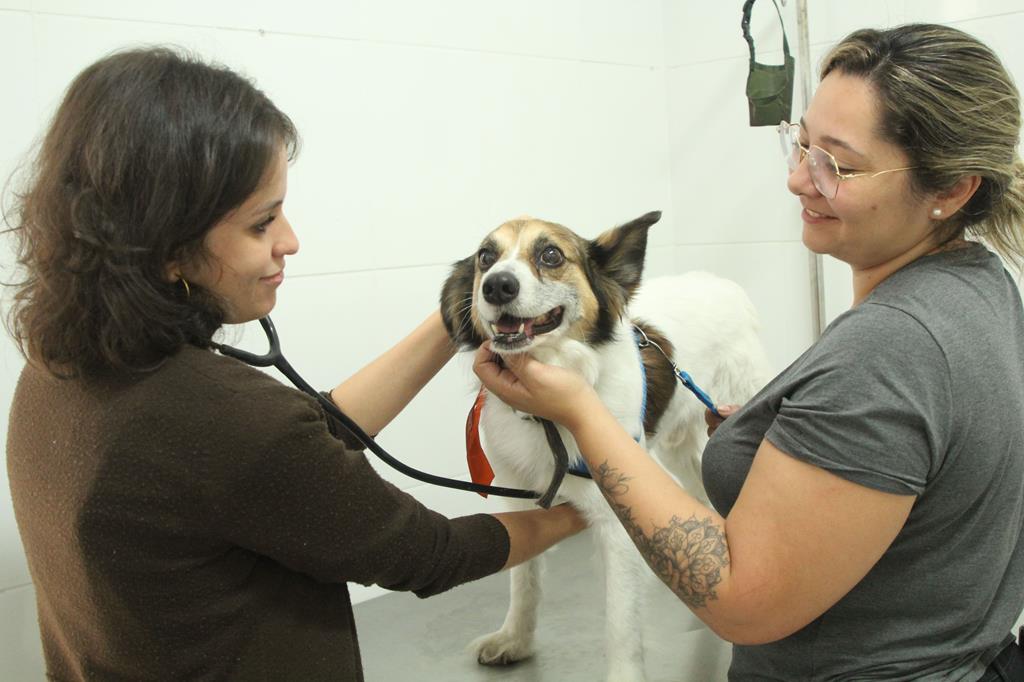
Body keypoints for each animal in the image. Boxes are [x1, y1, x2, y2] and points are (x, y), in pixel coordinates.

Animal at [438, 209, 770, 675]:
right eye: (486, 257)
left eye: (551, 255)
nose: (497, 285)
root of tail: (721, 285)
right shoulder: (518, 498)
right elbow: (524, 581)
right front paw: (514, 639)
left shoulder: (618, 512)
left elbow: (620, 623)